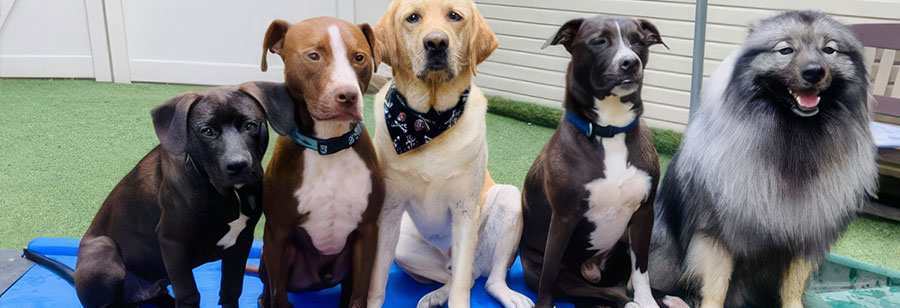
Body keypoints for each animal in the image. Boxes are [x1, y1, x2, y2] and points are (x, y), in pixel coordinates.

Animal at [23, 82, 292, 308]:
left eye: (251, 125)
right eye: (207, 131)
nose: (238, 166)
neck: (228, 194)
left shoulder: (241, 242)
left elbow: (230, 291)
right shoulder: (172, 243)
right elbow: (189, 295)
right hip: (104, 253)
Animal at [251, 17, 384, 308]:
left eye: (359, 57)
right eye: (314, 56)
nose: (348, 95)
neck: (329, 144)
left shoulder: (367, 232)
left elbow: (359, 294)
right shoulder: (278, 232)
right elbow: (278, 294)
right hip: (275, 253)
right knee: (269, 289)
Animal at [368, 0, 536, 308]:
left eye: (455, 16)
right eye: (412, 18)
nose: (436, 42)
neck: (426, 122)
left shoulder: (464, 212)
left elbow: (461, 288)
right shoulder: (390, 211)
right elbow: (376, 280)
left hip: (507, 201)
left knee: (480, 278)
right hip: (404, 246)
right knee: (461, 276)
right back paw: (434, 296)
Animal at [520, 16, 684, 308]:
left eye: (638, 41)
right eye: (598, 41)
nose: (630, 62)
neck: (610, 130)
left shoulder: (644, 214)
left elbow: (642, 272)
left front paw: (648, 300)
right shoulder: (563, 218)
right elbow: (549, 276)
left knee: (623, 287)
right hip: (559, 274)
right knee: (611, 295)